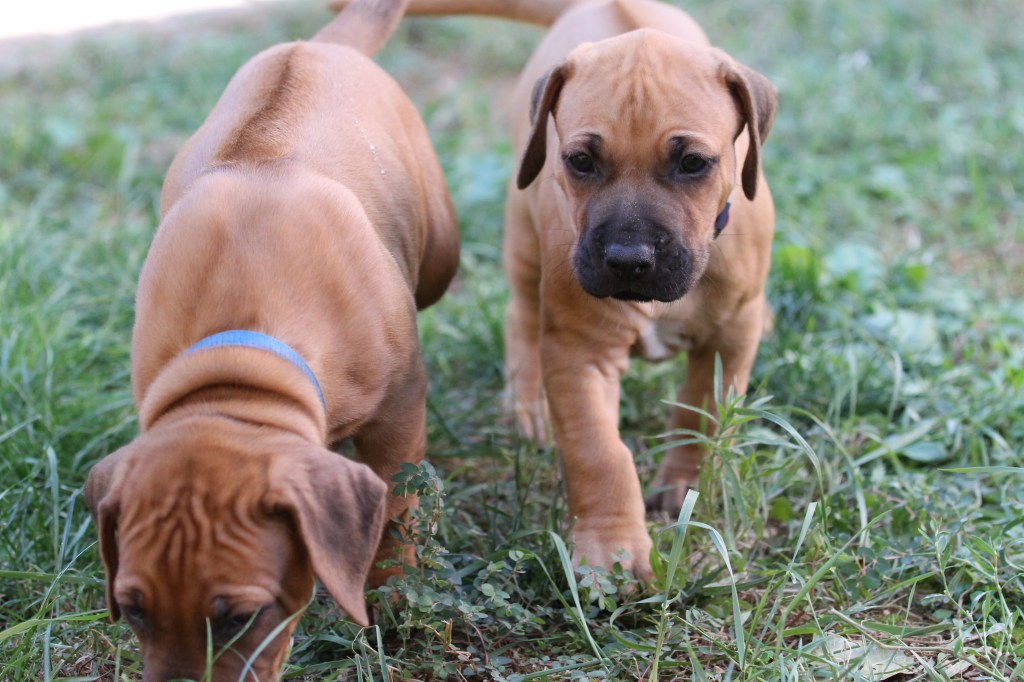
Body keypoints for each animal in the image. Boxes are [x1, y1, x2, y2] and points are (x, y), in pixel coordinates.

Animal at [82, 0, 460, 678]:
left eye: (240, 617)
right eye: (136, 610)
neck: (243, 360)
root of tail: (318, 46)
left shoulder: (397, 408)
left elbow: (396, 510)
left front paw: (392, 601)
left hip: (440, 249)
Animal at [332, 0, 777, 580]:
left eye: (693, 163)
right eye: (581, 161)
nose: (628, 261)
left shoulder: (729, 337)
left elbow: (701, 414)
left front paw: (683, 485)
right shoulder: (578, 353)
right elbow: (600, 453)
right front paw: (612, 552)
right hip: (523, 237)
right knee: (521, 317)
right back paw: (528, 409)